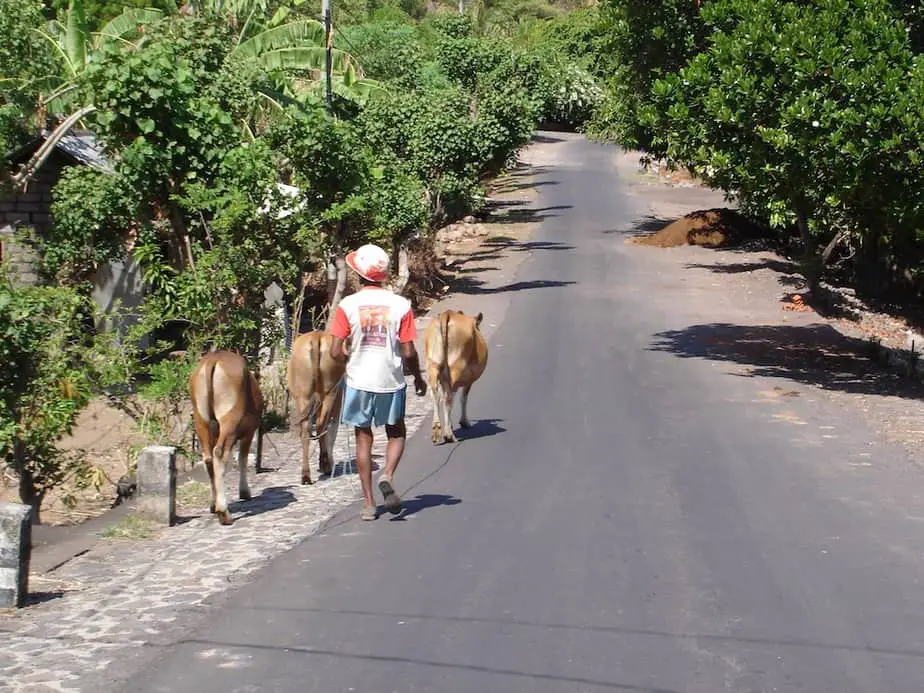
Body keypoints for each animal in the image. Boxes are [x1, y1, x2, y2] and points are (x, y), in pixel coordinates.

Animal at [186, 352, 262, 524]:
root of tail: (213, 358)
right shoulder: (249, 432)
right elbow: (242, 459)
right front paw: (244, 492)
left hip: (200, 420)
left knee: (208, 458)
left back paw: (214, 505)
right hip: (230, 419)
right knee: (219, 454)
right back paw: (224, 512)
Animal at [286, 332, 344, 484]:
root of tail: (315, 337)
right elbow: (332, 431)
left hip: (303, 395)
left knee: (306, 429)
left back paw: (306, 474)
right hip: (330, 392)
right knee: (321, 425)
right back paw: (326, 465)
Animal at [422, 308, 488, 444]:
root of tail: (447, 314)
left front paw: (450, 425)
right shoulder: (468, 379)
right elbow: (463, 398)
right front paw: (463, 422)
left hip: (432, 365)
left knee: (435, 395)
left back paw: (437, 430)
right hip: (456, 368)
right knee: (448, 398)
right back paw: (448, 435)